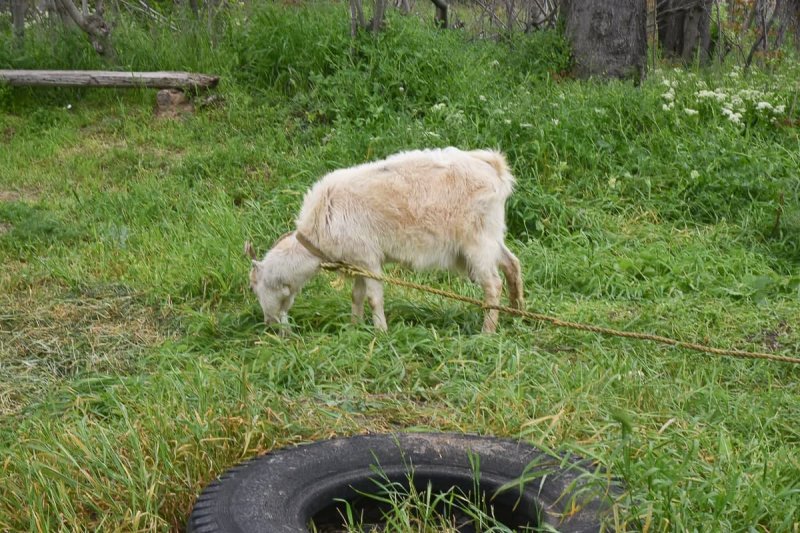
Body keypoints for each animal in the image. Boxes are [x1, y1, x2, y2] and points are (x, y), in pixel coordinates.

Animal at [247, 148, 528, 332]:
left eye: (253, 287)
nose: (269, 324)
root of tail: (494, 168)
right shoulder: (357, 261)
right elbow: (356, 295)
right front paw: (354, 327)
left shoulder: (368, 259)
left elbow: (374, 298)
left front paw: (381, 332)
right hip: (492, 235)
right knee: (512, 264)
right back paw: (517, 313)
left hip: (477, 242)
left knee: (493, 284)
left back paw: (487, 332)